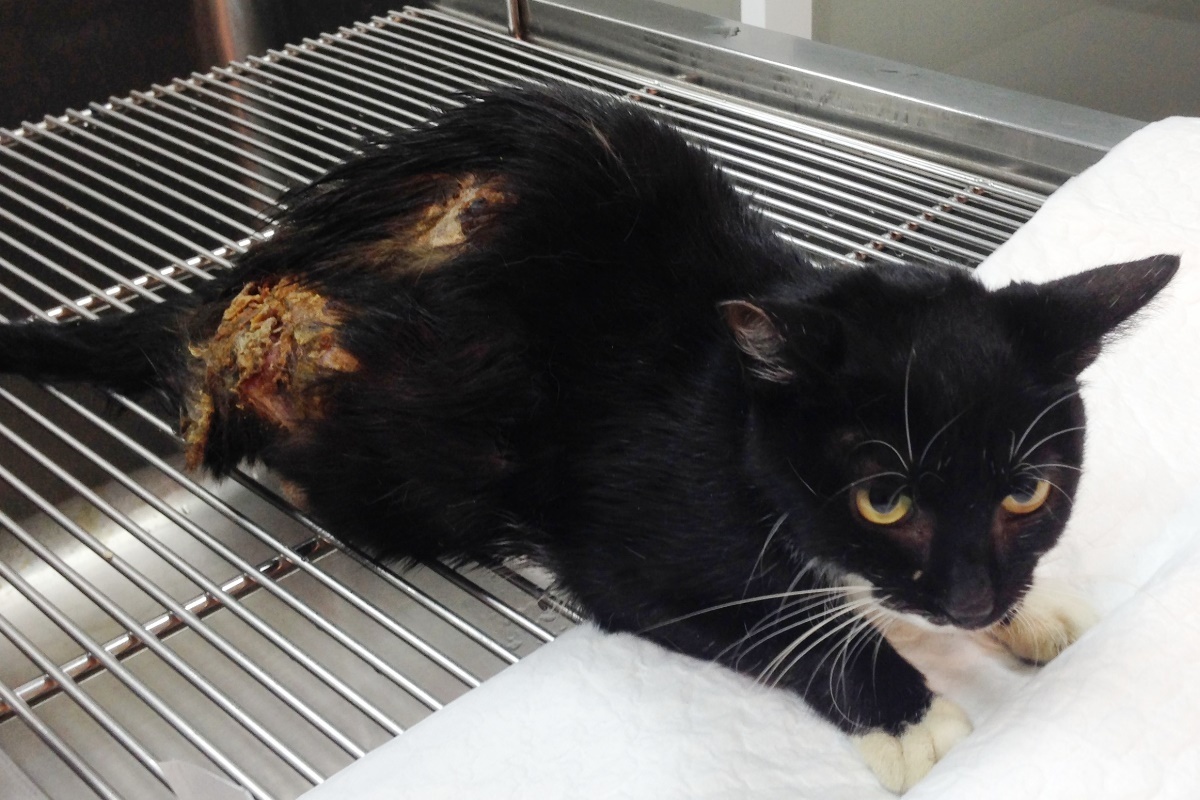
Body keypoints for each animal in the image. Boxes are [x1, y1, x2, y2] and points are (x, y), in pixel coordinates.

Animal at [0, 83, 1178, 792]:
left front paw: (1036, 610)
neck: (729, 400)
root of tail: (245, 287)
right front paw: (902, 708)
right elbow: (763, 618)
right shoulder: (631, 548)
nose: (973, 600)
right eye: (882, 498)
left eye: (1028, 491)